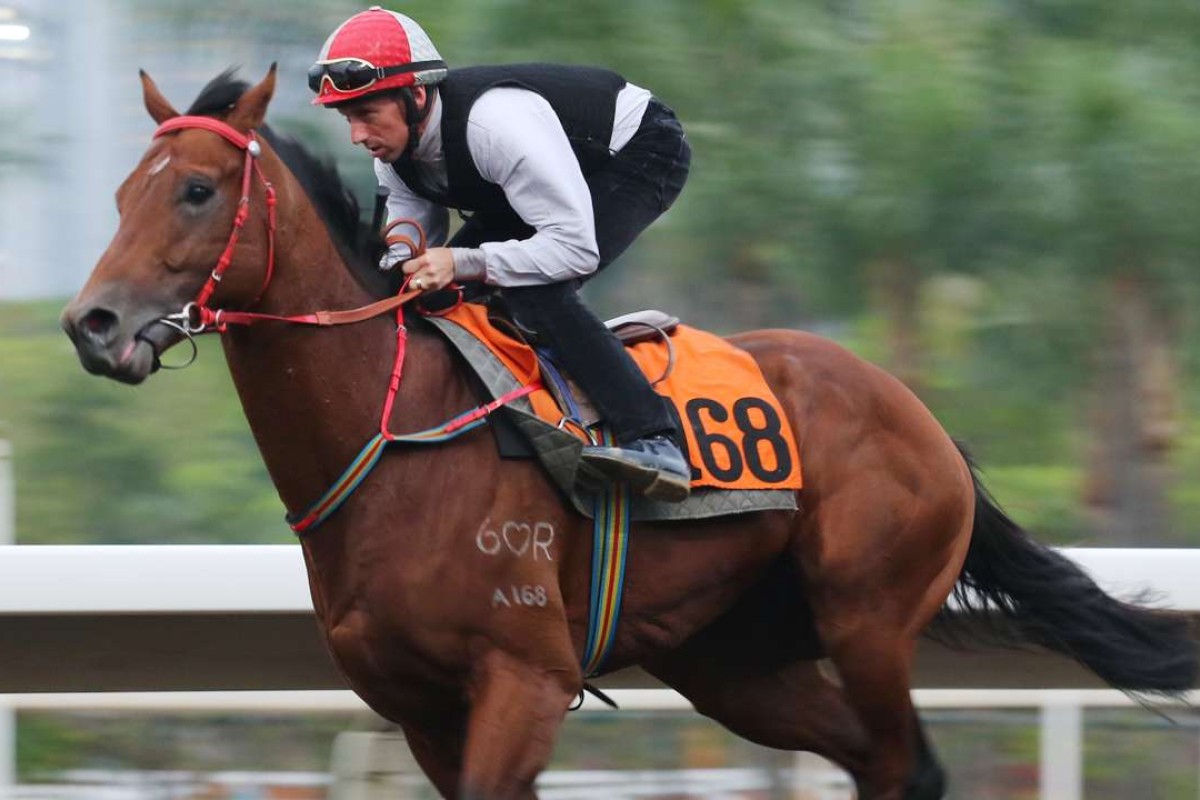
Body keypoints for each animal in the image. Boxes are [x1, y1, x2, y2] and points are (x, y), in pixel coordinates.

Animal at [63, 67, 1190, 800]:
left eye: (197, 190)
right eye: (118, 194)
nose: (92, 324)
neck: (399, 441)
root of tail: (917, 414)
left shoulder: (524, 679)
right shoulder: (418, 706)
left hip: (869, 618)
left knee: (906, 762)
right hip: (737, 660)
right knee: (877, 761)